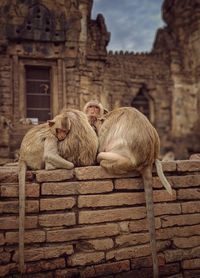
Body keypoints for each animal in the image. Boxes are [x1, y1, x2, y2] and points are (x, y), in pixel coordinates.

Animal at [18, 109, 98, 274]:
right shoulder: (53, 135)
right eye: (60, 131)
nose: (61, 136)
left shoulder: (54, 135)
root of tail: (23, 157)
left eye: (64, 132)